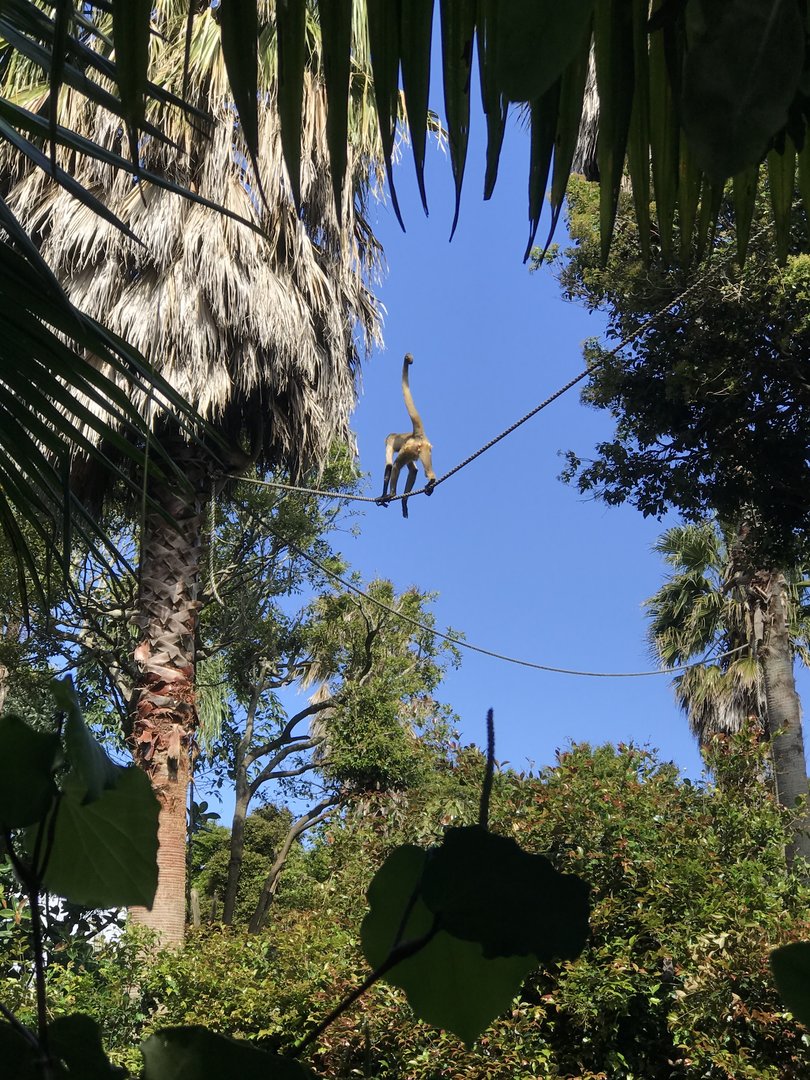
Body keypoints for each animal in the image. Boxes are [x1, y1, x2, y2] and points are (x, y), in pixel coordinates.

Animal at [377, 353, 436, 518]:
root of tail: (417, 434)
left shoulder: (390, 442)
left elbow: (389, 466)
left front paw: (383, 496)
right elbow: (413, 470)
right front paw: (403, 502)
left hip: (410, 448)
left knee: (396, 464)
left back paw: (390, 494)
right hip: (423, 449)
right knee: (420, 469)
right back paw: (430, 482)